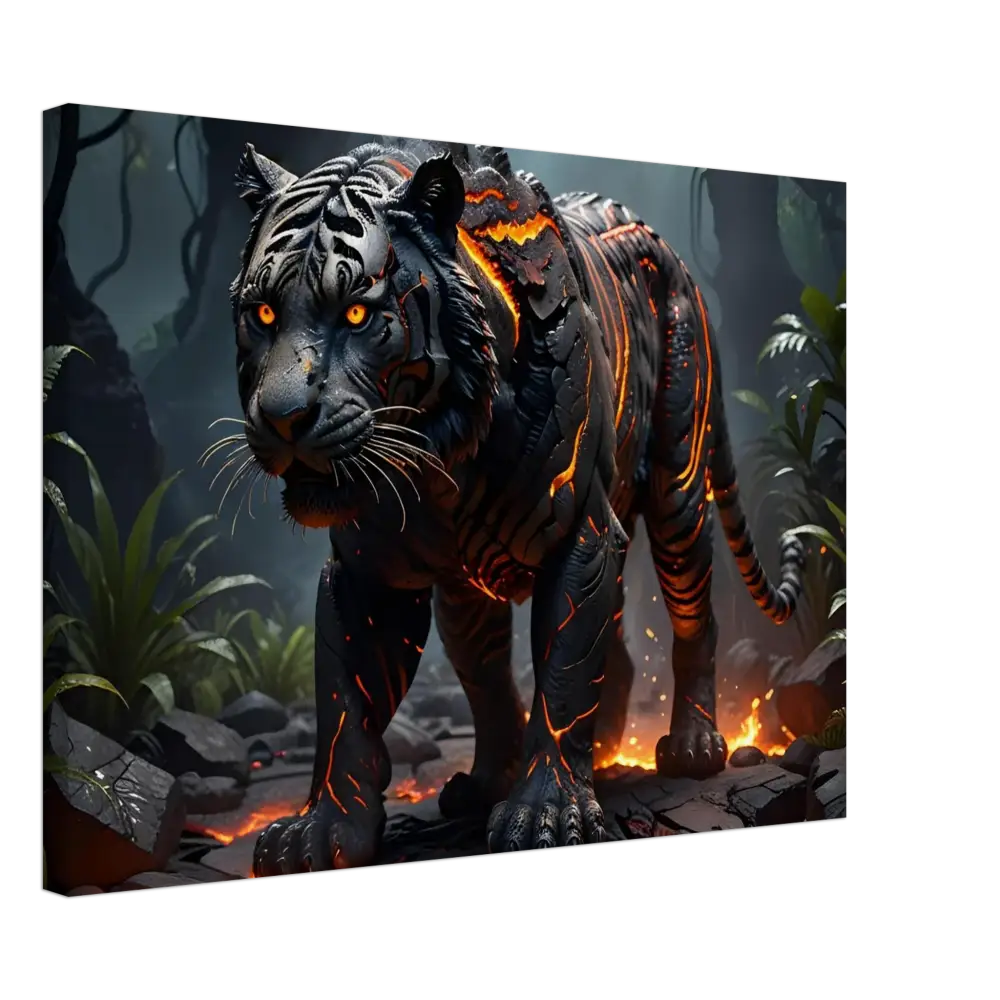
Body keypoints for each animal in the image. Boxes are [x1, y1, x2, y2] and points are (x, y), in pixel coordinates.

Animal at [224, 139, 805, 875]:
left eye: (356, 313)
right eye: (263, 313)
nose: (283, 419)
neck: (440, 461)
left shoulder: (583, 535)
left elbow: (562, 674)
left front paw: (546, 814)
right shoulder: (364, 570)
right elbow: (345, 704)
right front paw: (320, 831)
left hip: (679, 488)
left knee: (692, 615)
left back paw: (693, 746)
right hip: (468, 588)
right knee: (497, 676)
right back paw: (501, 778)